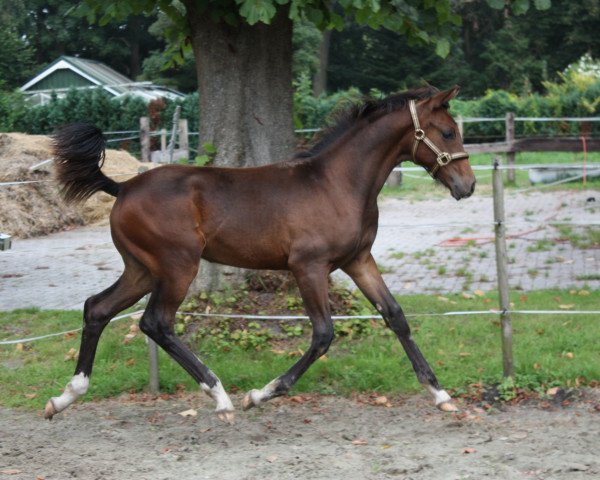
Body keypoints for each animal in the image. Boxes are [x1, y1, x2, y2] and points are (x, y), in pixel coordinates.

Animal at [47, 84, 476, 422]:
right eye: (448, 131)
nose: (468, 185)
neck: (337, 183)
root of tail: (122, 188)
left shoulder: (358, 261)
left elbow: (395, 316)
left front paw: (441, 395)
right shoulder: (309, 267)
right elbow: (323, 334)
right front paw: (261, 394)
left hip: (142, 269)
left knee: (97, 308)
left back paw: (65, 397)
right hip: (177, 266)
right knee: (156, 322)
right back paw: (220, 397)